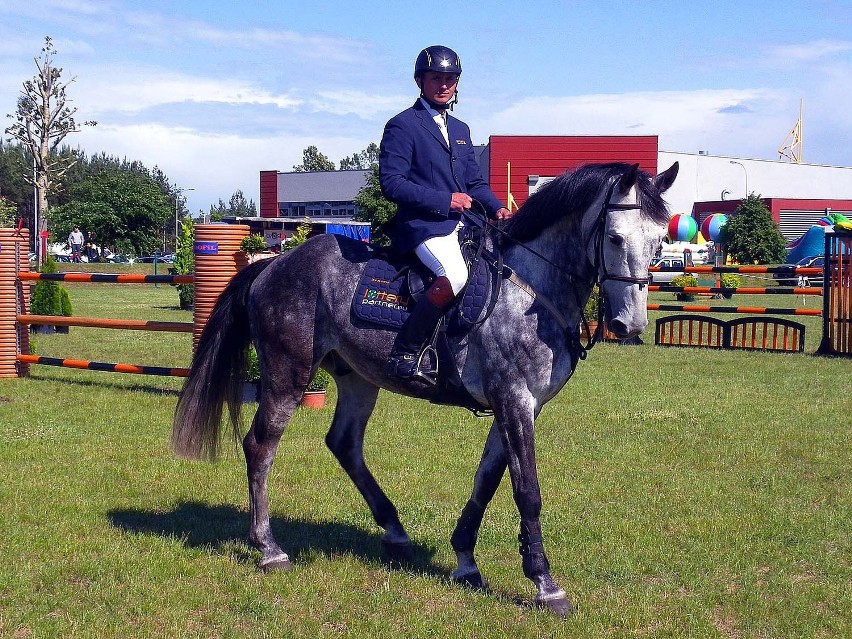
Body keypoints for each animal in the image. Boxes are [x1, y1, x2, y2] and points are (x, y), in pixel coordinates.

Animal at [171, 160, 680, 616]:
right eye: (615, 238)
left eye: (659, 243)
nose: (629, 325)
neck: (531, 290)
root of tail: (274, 262)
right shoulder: (514, 400)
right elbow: (527, 491)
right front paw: (545, 585)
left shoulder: (520, 405)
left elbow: (486, 482)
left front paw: (465, 561)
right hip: (287, 373)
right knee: (261, 446)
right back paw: (269, 548)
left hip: (357, 378)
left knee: (344, 443)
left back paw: (394, 531)